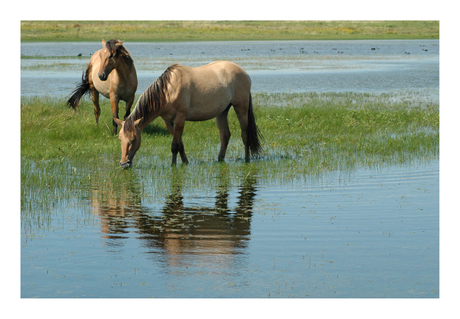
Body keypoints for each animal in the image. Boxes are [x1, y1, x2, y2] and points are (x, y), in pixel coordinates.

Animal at [113, 61, 264, 169]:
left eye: (133, 139)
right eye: (120, 139)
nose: (124, 164)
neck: (168, 90)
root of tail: (245, 73)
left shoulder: (180, 117)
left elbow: (175, 145)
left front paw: (173, 166)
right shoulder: (168, 121)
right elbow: (180, 144)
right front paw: (185, 162)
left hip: (241, 108)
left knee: (245, 135)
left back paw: (247, 160)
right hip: (222, 112)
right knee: (225, 135)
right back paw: (219, 159)